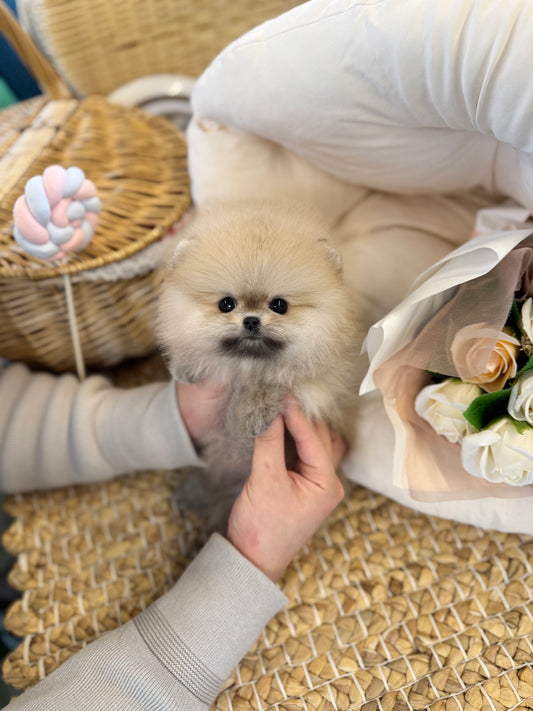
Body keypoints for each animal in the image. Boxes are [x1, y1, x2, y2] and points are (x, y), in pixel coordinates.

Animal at [155, 204, 362, 524]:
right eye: (226, 304)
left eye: (279, 305)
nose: (251, 320)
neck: (248, 365)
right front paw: (186, 367)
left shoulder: (320, 385)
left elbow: (275, 381)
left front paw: (255, 410)